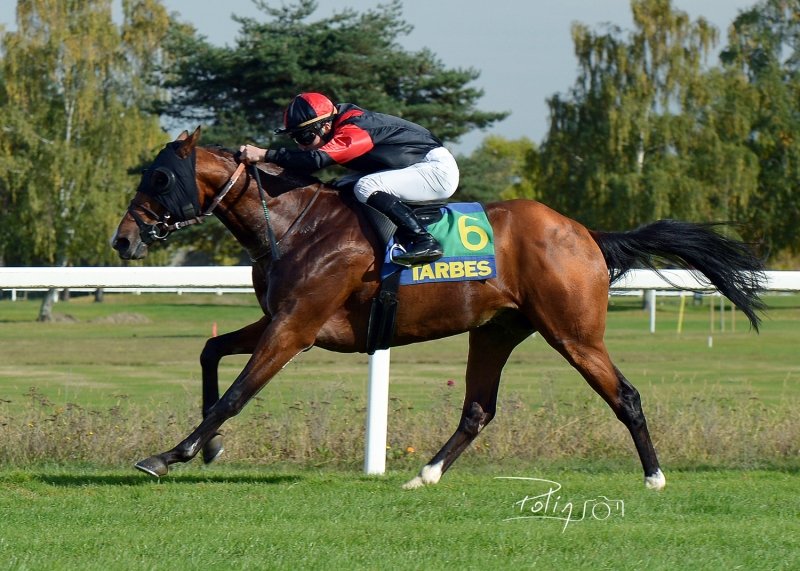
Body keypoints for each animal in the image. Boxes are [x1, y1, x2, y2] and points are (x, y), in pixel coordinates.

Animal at [112, 127, 766, 490]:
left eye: (160, 178)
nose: (122, 240)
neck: (295, 223)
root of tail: (586, 234)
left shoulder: (296, 327)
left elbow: (236, 394)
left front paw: (170, 455)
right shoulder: (281, 319)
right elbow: (210, 350)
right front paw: (208, 447)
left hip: (573, 332)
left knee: (625, 395)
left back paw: (655, 477)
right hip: (497, 331)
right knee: (478, 409)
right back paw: (423, 475)